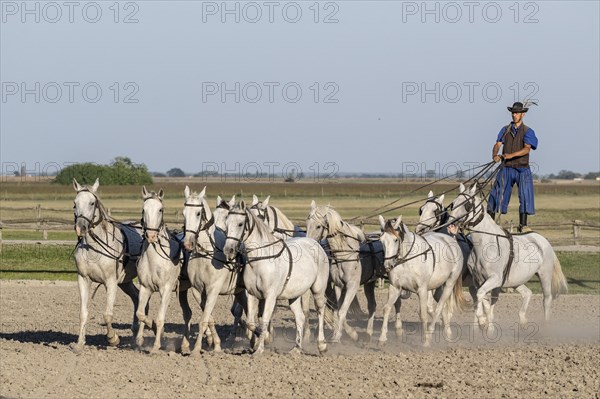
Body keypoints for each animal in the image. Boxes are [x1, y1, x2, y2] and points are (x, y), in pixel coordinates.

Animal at [71, 180, 144, 352]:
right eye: (75, 204)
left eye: (92, 203)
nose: (81, 227)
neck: (94, 249)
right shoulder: (83, 279)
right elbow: (83, 313)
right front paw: (79, 343)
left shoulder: (110, 282)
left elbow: (107, 315)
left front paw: (113, 338)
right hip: (125, 282)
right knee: (137, 298)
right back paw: (135, 333)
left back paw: (139, 338)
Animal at [183, 188, 248, 356]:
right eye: (184, 213)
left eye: (198, 213)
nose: (188, 243)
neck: (205, 254)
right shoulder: (198, 291)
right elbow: (209, 318)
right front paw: (216, 345)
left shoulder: (213, 289)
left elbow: (204, 320)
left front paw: (196, 349)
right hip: (239, 291)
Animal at [224, 202, 330, 354]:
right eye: (226, 223)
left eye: (240, 224)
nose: (229, 250)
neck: (261, 259)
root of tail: (315, 243)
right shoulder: (252, 295)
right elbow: (251, 322)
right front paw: (260, 338)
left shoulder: (270, 296)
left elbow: (264, 320)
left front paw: (260, 348)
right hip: (294, 295)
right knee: (300, 317)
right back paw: (296, 348)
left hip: (318, 289)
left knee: (320, 310)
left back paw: (321, 345)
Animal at [380, 216, 468, 346]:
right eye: (381, 240)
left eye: (395, 240)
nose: (388, 266)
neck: (407, 260)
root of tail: (451, 240)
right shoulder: (395, 287)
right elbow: (386, 308)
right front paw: (382, 339)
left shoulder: (421, 290)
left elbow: (423, 315)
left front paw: (425, 341)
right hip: (436, 287)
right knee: (441, 309)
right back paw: (448, 333)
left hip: (449, 284)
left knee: (439, 308)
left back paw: (430, 335)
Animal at [448, 183, 568, 330]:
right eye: (453, 204)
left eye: (467, 205)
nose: (451, 225)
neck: (485, 244)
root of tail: (541, 239)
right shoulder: (478, 281)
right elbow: (482, 300)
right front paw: (484, 325)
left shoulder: (495, 279)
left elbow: (481, 296)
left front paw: (483, 321)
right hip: (515, 280)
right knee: (527, 293)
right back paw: (523, 320)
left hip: (544, 275)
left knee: (546, 299)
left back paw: (545, 325)